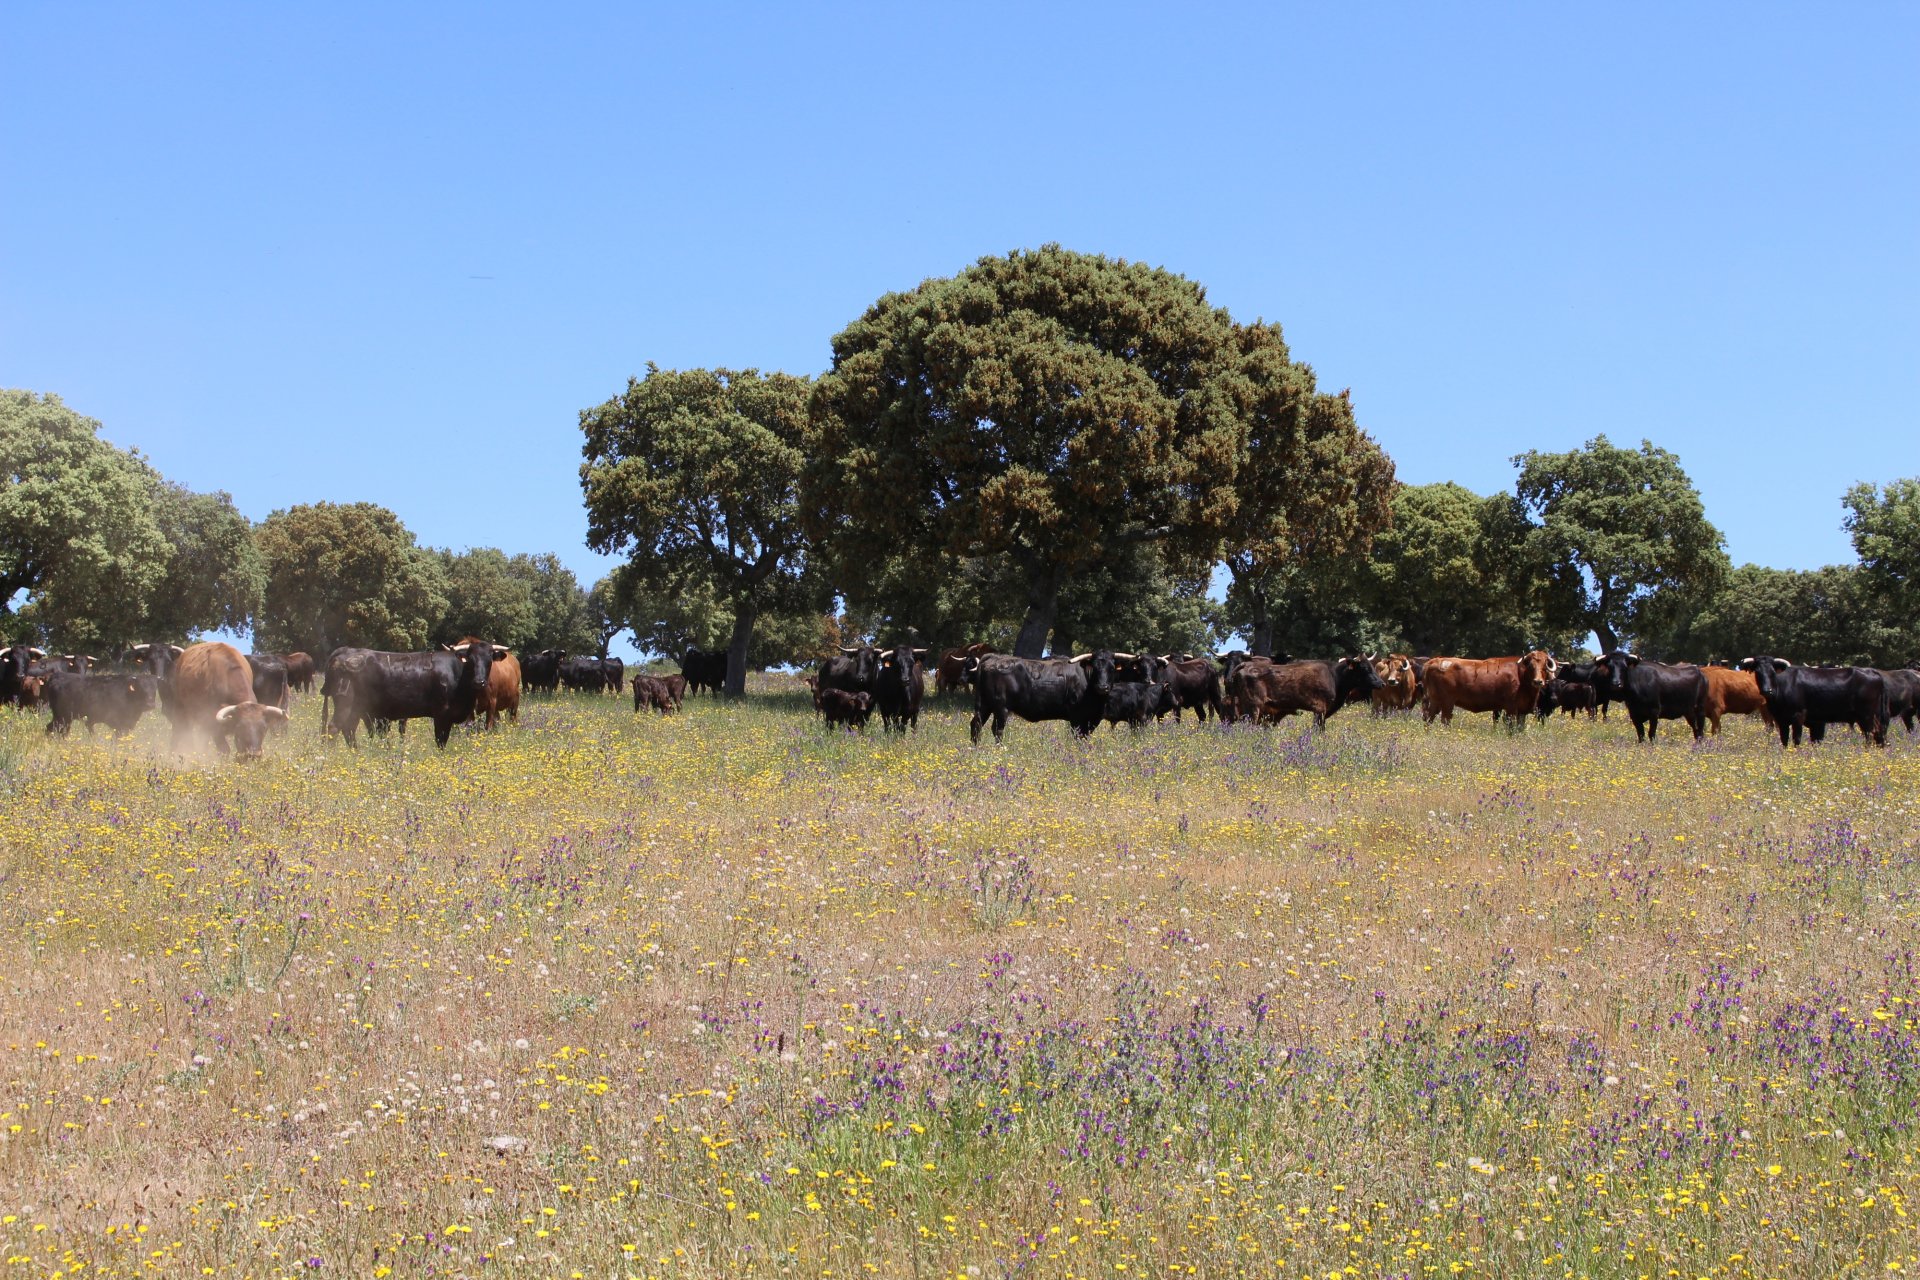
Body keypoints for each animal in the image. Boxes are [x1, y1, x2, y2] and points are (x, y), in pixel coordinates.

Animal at [321, 642, 497, 747]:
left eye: (489, 661)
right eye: (471, 660)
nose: (479, 682)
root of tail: (347, 650)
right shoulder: (442, 715)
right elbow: (441, 741)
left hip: (357, 708)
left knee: (348, 729)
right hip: (345, 702)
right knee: (334, 727)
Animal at [967, 651, 1120, 743]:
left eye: (1112, 668)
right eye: (1095, 668)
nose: (1103, 687)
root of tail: (994, 657)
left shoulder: (1091, 719)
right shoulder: (1077, 717)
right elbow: (1078, 737)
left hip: (984, 705)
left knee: (976, 724)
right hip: (1001, 708)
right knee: (997, 729)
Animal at [1225, 656, 1384, 728]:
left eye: (1372, 667)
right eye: (1364, 669)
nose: (1382, 683)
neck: (1334, 676)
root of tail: (1245, 664)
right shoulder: (1320, 708)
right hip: (1253, 707)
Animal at [1420, 652, 1558, 726]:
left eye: (1544, 667)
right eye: (1531, 666)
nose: (1538, 681)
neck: (1520, 676)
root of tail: (1434, 661)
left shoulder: (1521, 711)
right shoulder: (1511, 708)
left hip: (1435, 701)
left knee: (1429, 718)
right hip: (1447, 702)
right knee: (1445, 720)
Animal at [1740, 657, 1888, 747]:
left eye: (1773, 672)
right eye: (1757, 672)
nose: (1767, 690)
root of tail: (1872, 671)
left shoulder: (1798, 716)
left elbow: (1796, 739)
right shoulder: (1782, 720)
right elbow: (1785, 741)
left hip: (1867, 717)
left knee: (1871, 736)